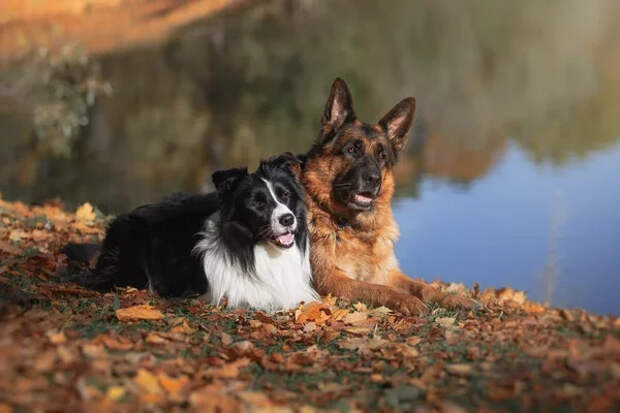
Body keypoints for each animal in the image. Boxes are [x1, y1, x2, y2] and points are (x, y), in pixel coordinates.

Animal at [302, 79, 478, 314]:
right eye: (352, 150)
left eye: (382, 156)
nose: (374, 179)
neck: (354, 227)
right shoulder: (330, 280)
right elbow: (377, 289)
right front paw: (408, 301)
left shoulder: (388, 273)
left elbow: (423, 287)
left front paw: (454, 299)